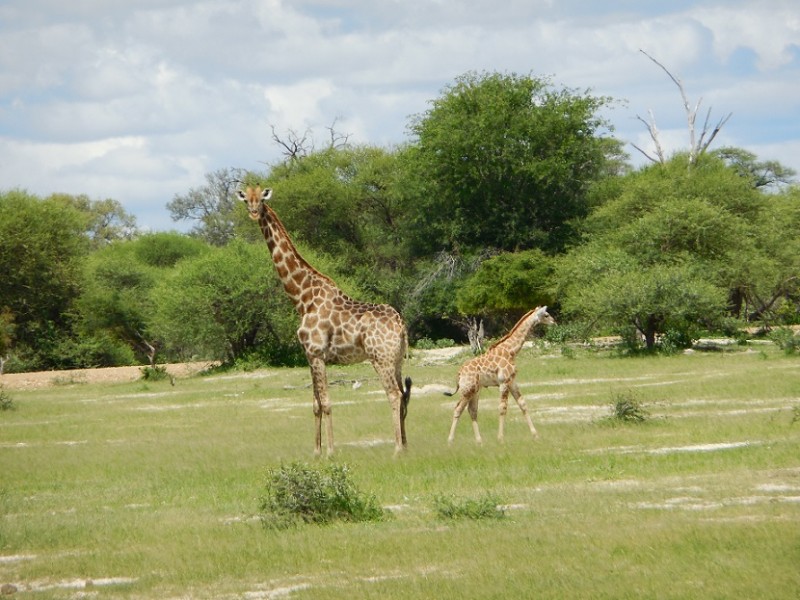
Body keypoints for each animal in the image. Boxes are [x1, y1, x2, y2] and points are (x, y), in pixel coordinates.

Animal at [236, 185, 412, 458]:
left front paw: (330, 451)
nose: (254, 213)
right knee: (403, 395)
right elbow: (315, 404)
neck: (302, 298)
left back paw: (396, 449)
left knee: (393, 394)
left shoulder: (317, 353)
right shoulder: (309, 355)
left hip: (380, 358)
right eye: (246, 199)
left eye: (261, 200)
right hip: (396, 359)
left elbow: (327, 402)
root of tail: (401, 326)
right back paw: (404, 445)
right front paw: (316, 452)